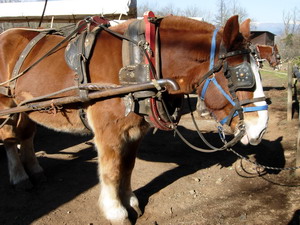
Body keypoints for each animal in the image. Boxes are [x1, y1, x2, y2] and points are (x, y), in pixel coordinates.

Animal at [0, 14, 268, 225]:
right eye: (240, 75)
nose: (261, 128)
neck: (141, 62)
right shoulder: (108, 133)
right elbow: (111, 171)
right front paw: (115, 211)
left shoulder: (135, 131)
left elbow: (127, 167)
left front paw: (131, 202)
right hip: (6, 105)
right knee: (10, 138)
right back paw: (19, 176)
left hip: (26, 107)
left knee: (26, 136)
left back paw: (34, 170)